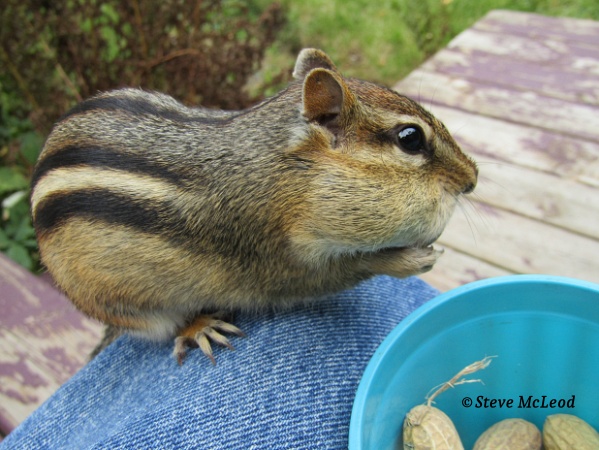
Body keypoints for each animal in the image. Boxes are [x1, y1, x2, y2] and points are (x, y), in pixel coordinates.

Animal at [30, 49, 477, 365]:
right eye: (410, 139)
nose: (472, 178)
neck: (279, 174)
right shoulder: (277, 261)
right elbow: (344, 271)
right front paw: (408, 260)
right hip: (129, 306)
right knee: (165, 327)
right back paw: (199, 326)